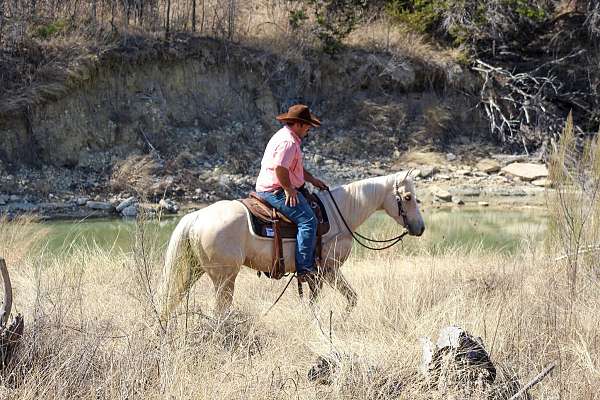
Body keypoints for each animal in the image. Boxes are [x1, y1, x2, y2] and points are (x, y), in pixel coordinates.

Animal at [157, 172, 424, 322]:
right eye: (408, 197)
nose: (420, 228)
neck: (339, 213)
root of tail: (197, 216)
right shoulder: (327, 270)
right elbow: (335, 301)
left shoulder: (318, 274)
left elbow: (348, 299)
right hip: (225, 279)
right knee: (219, 312)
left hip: (193, 270)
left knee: (174, 299)